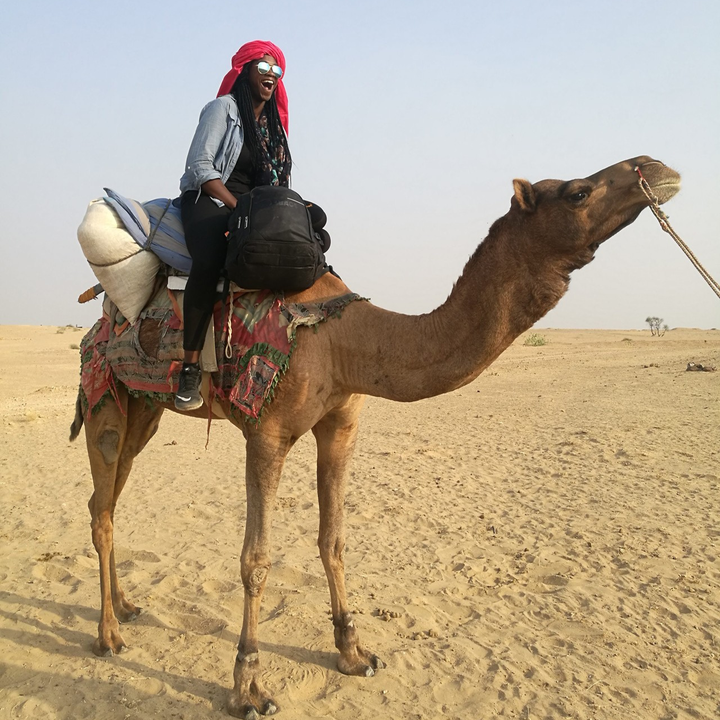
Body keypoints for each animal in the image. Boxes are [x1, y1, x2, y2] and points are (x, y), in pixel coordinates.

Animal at [67, 155, 680, 716]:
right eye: (578, 192)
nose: (657, 168)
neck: (345, 339)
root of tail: (99, 318)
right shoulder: (266, 433)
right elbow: (256, 560)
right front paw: (248, 687)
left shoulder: (342, 424)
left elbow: (333, 538)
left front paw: (353, 652)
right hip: (106, 396)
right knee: (101, 505)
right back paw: (109, 636)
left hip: (146, 407)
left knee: (109, 499)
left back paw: (126, 608)